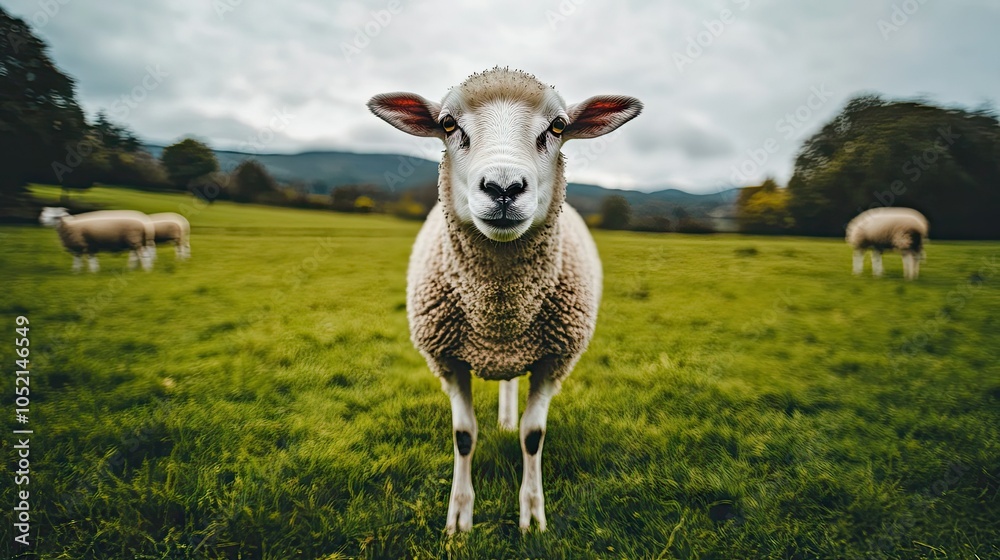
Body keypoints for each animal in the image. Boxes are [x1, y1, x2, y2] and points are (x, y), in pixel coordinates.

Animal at [368, 67, 643, 533]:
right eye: (447, 124)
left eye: (558, 127)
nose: (503, 187)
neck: (498, 313)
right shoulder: (448, 360)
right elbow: (463, 436)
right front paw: (459, 518)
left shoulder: (553, 360)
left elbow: (533, 437)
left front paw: (532, 515)